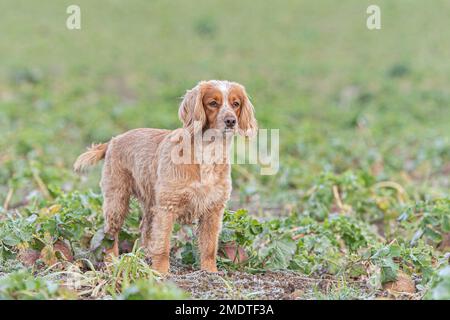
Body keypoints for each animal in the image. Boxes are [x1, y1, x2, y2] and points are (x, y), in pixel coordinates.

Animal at [74, 79, 256, 272]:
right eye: (213, 103)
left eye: (236, 104)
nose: (231, 121)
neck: (207, 152)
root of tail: (114, 140)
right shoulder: (167, 207)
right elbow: (163, 245)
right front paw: (160, 273)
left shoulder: (213, 209)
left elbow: (209, 247)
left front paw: (210, 272)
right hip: (117, 201)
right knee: (110, 234)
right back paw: (113, 264)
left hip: (149, 205)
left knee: (145, 231)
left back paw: (144, 259)